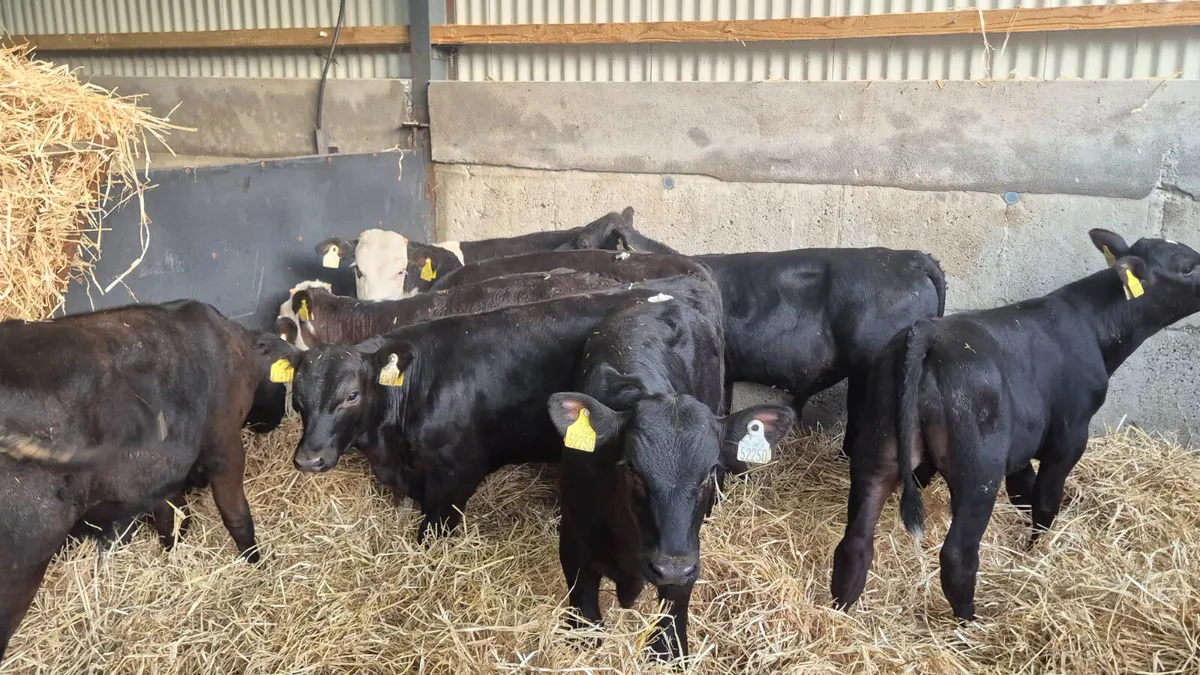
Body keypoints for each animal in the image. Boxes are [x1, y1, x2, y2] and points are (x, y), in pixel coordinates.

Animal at [0, 301, 292, 663]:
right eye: (283, 384)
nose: (275, 420)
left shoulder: (160, 472)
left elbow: (171, 515)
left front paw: (170, 549)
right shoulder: (224, 445)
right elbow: (235, 514)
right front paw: (255, 561)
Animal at [549, 298, 793, 660]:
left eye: (709, 471)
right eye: (631, 468)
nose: (672, 568)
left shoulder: (687, 553)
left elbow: (671, 624)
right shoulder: (573, 544)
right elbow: (586, 620)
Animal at [830, 230, 1200, 623]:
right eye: (1186, 268)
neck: (1091, 325)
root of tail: (925, 334)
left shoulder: (1020, 449)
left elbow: (1023, 491)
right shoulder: (1069, 437)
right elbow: (1045, 499)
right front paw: (1037, 551)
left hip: (876, 449)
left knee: (855, 542)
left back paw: (841, 609)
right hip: (979, 468)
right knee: (958, 554)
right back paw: (970, 623)